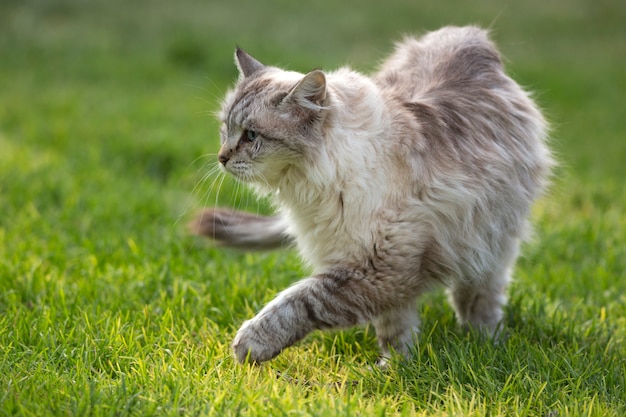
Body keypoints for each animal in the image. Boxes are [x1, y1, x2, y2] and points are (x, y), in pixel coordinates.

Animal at [191, 26, 552, 364]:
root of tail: (470, 35)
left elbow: (300, 301)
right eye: (226, 129)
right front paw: (397, 366)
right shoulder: (375, 268)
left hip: (490, 245)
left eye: (251, 136)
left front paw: (251, 342)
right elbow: (394, 327)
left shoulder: (379, 267)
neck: (316, 185)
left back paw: (486, 342)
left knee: (480, 298)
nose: (222, 157)